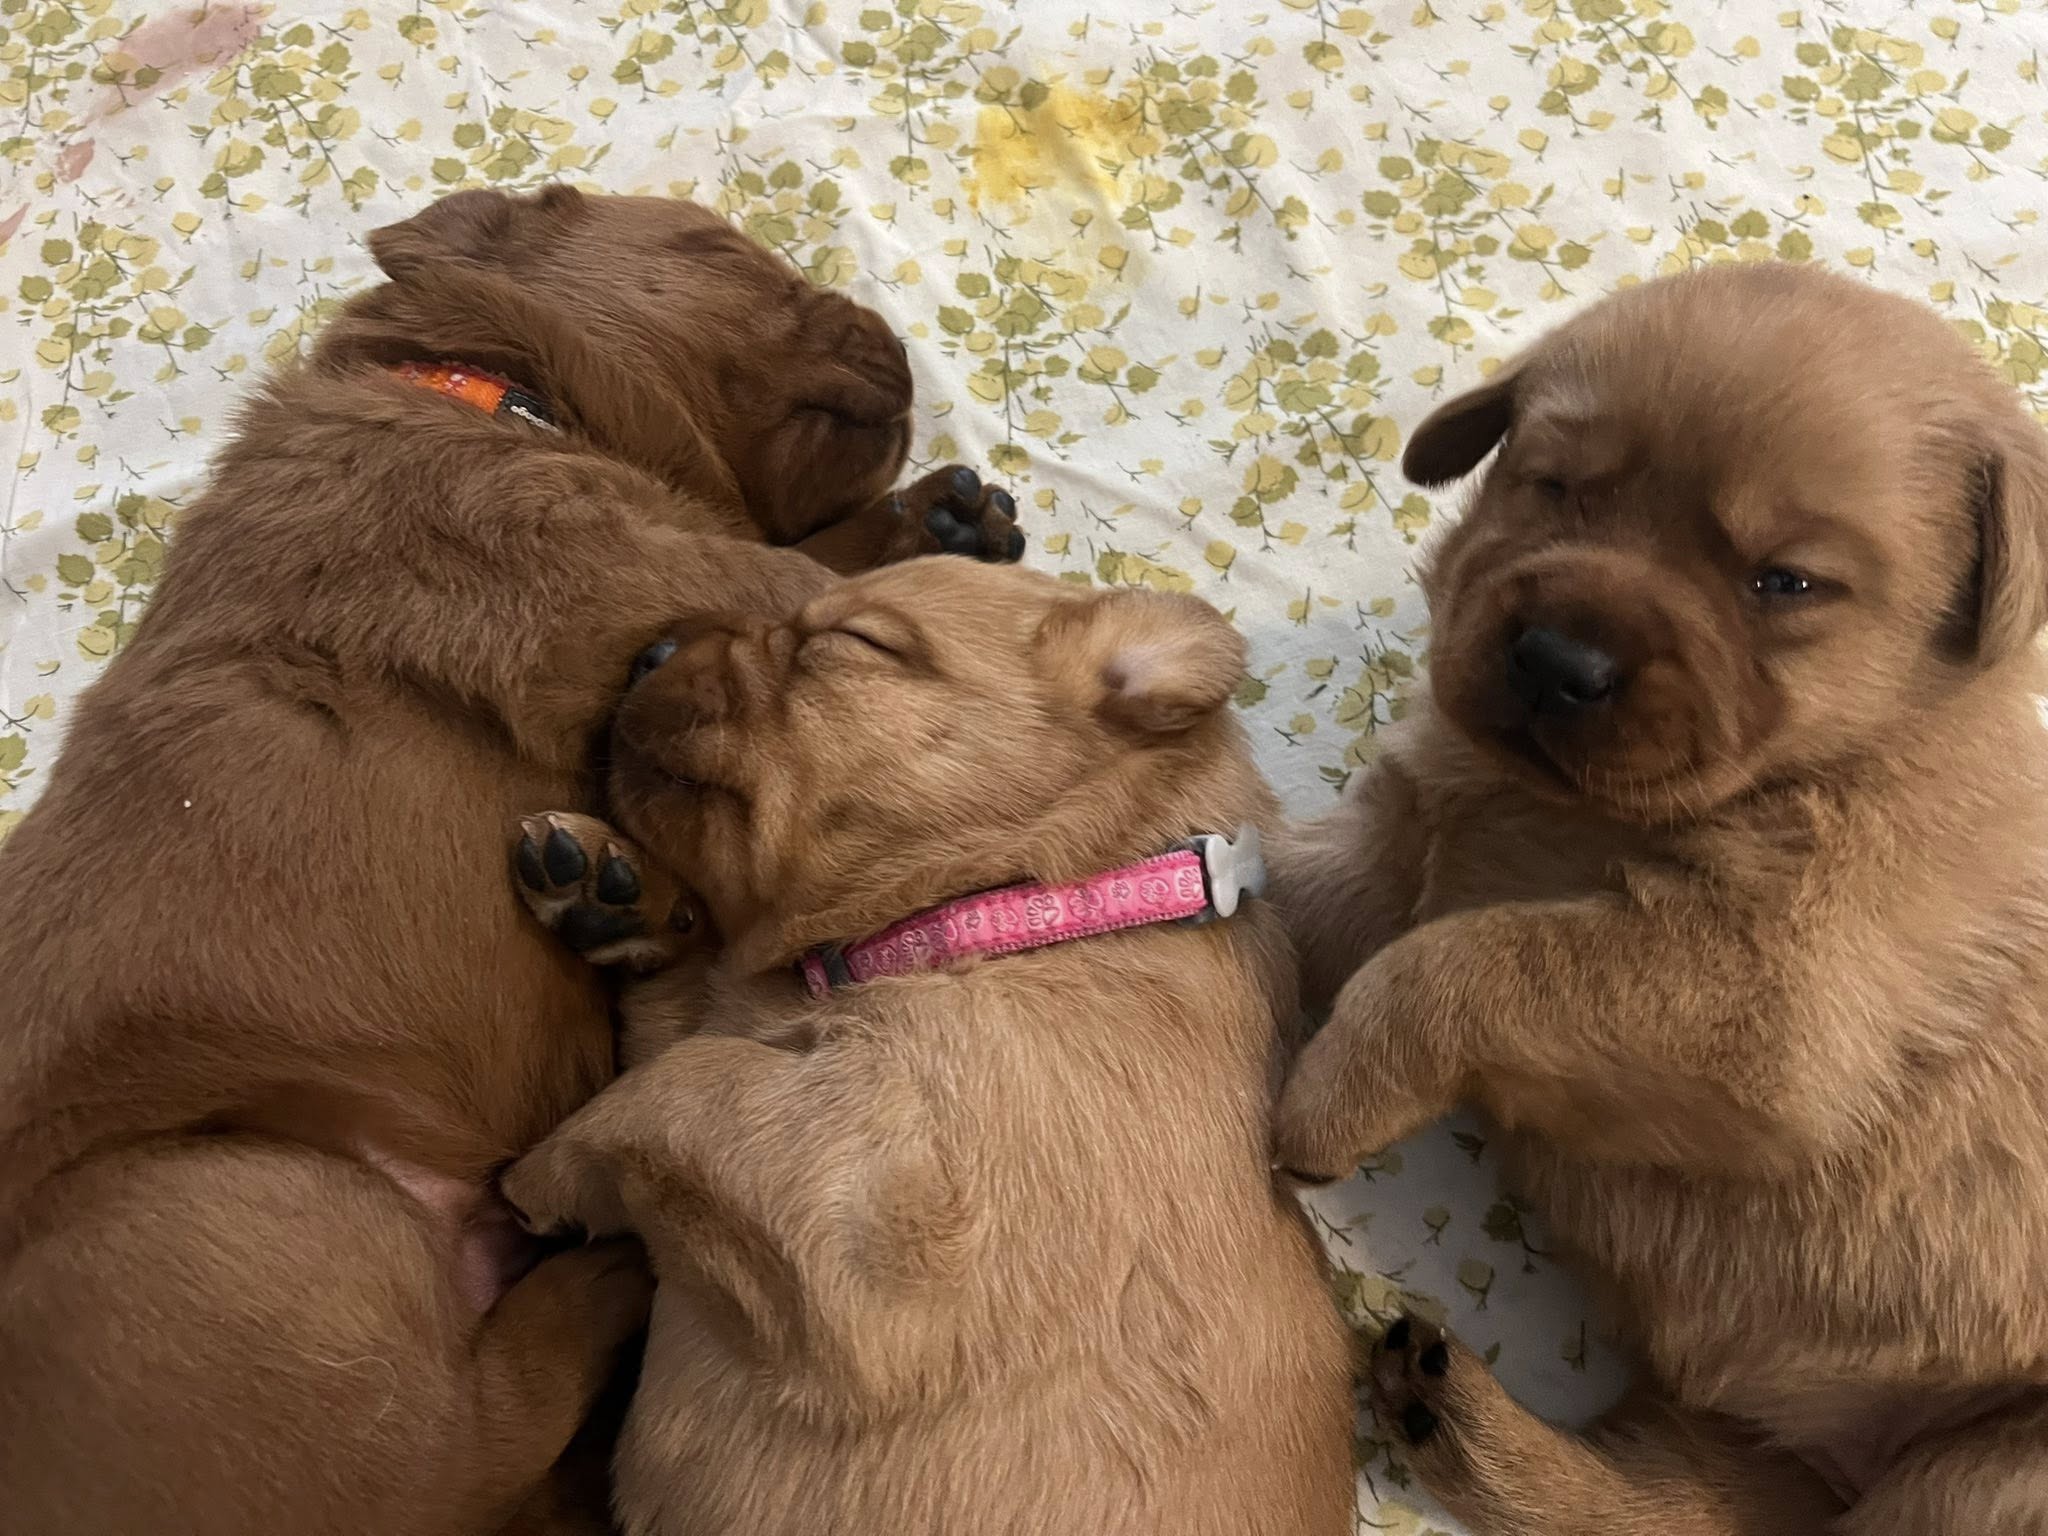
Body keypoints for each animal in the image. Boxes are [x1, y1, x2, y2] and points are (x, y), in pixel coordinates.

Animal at [0, 186, 1019, 1536]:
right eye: (718, 249)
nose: (895, 341)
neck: (488, 389)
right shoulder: (647, 557)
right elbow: (814, 587)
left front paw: (943, 515)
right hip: (228, 1229)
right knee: (467, 1437)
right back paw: (612, 1263)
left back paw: (611, 902)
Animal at [496, 557, 1357, 1536]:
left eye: (851, 641)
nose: (650, 649)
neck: (1032, 906)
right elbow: (685, 1017)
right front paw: (620, 888)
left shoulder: (879, 1196)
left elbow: (676, 1084)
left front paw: (539, 1182)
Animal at [1270, 262, 2048, 1534]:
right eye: (1553, 487)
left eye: (1782, 582)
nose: (1553, 661)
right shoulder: (1397, 851)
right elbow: (1271, 882)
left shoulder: (1772, 994)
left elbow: (1461, 965)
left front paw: (1325, 1098)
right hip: (1761, 1447)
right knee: (1665, 1498)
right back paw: (1461, 1421)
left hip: (1983, 1473)